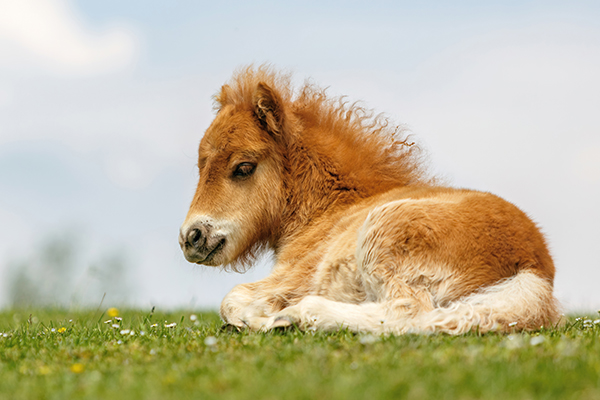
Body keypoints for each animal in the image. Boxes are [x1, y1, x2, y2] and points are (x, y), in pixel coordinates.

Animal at [177, 66, 556, 334]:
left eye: (243, 167)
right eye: (201, 166)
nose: (191, 237)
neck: (329, 209)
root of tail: (534, 263)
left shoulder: (295, 275)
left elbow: (233, 299)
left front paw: (259, 318)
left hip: (384, 232)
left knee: (408, 314)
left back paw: (295, 317)